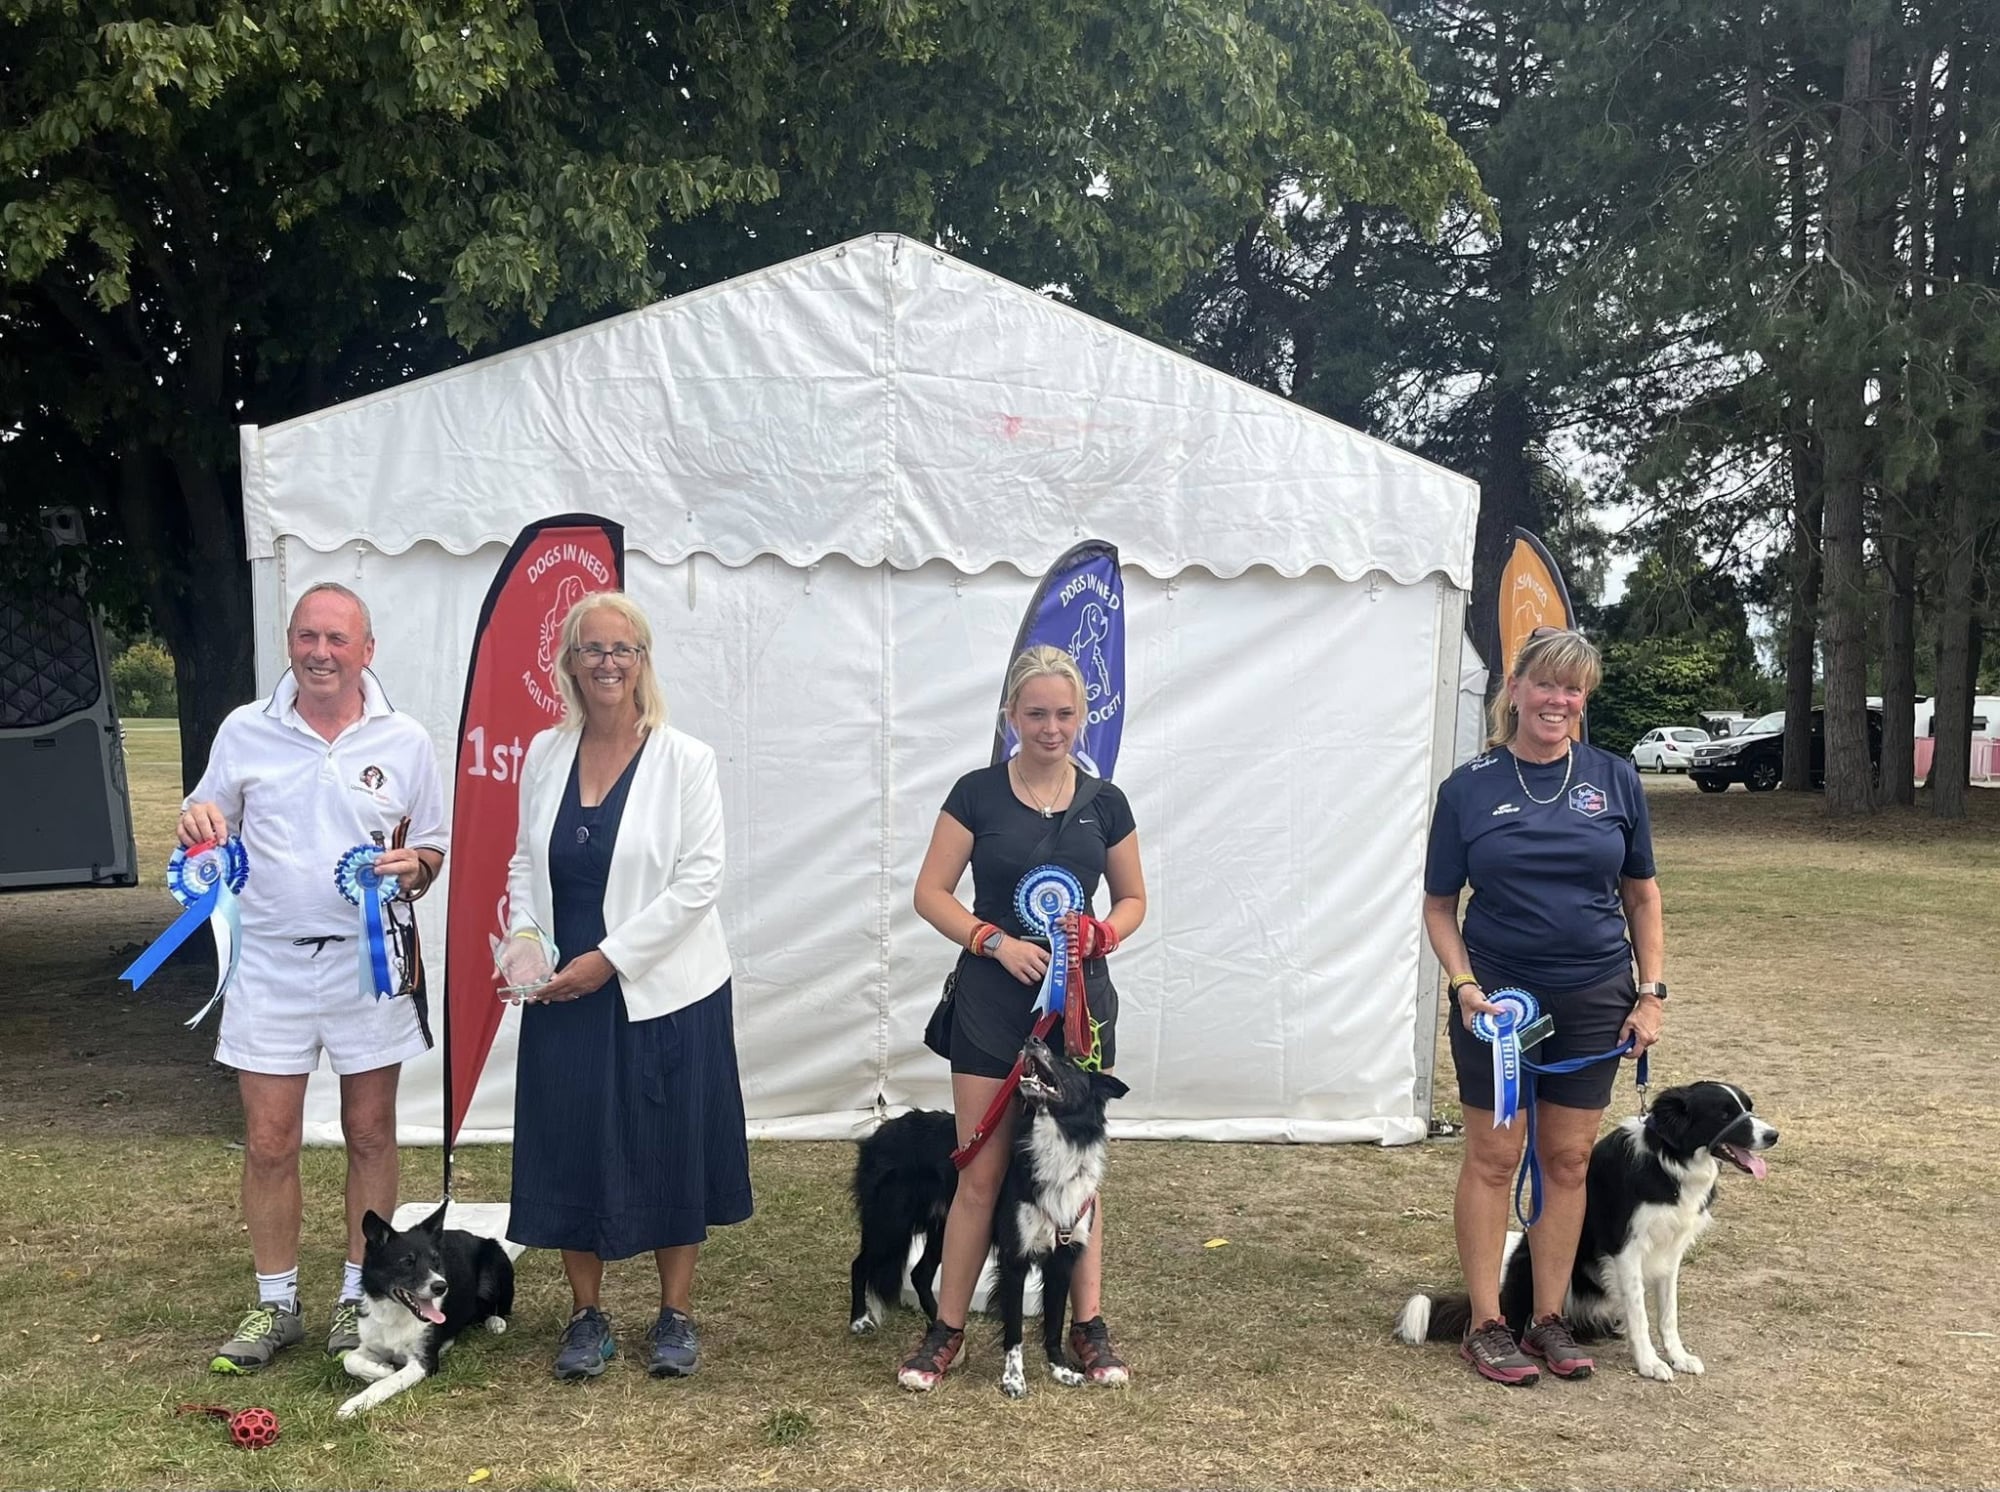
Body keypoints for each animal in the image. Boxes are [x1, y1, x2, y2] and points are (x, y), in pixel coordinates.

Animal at [336, 1203, 515, 1418]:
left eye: (436, 1260)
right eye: (407, 1262)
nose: (441, 1287)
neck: (394, 1316)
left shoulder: (424, 1361)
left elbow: (389, 1382)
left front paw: (355, 1404)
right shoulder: (372, 1344)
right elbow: (350, 1360)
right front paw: (380, 1369)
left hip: (496, 1261)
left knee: (500, 1307)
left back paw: (495, 1321)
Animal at [849, 1035, 1128, 1396]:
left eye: (1068, 1063)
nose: (1032, 1039)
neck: (1057, 1142)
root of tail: (880, 1132)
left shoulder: (1064, 1257)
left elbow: (1054, 1321)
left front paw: (1061, 1369)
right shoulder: (1015, 1258)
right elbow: (1014, 1329)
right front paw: (1014, 1379)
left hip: (939, 1228)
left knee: (920, 1274)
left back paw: (938, 1324)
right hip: (890, 1225)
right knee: (860, 1265)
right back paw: (860, 1320)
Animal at [1394, 1080, 1778, 1381]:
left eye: (1749, 1107)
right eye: (1724, 1114)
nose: (1774, 1135)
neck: (1667, 1160)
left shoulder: (1672, 1249)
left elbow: (1669, 1313)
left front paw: (1678, 1356)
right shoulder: (1626, 1249)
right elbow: (1640, 1313)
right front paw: (1650, 1362)